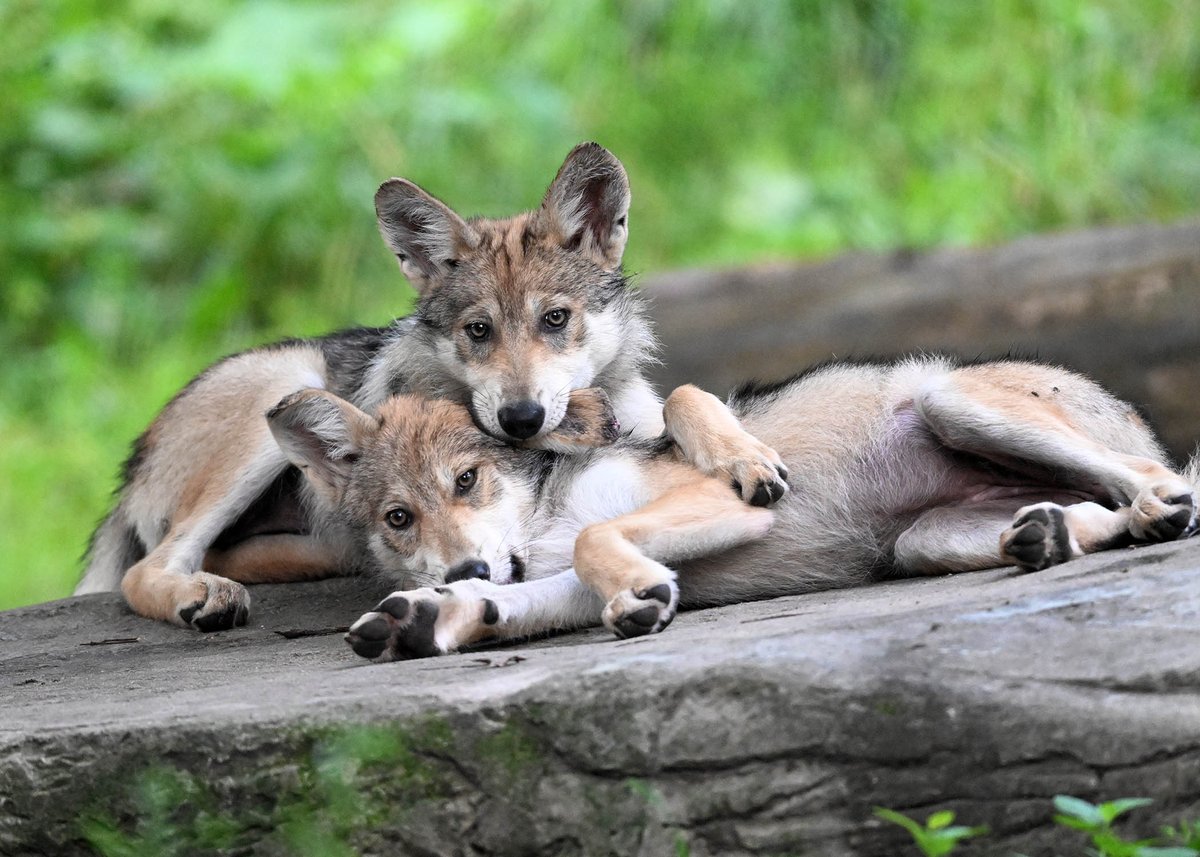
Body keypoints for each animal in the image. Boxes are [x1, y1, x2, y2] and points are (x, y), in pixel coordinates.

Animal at [77, 143, 769, 630]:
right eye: (478, 330)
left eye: (555, 319)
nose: (520, 419)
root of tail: (134, 463)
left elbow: (684, 396)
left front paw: (746, 457)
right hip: (281, 389)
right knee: (152, 567)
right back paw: (203, 596)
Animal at [261, 356, 1199, 660]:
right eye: (399, 518)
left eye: (466, 482)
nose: (464, 561)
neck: (541, 517)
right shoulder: (564, 579)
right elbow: (518, 599)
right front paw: (432, 614)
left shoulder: (715, 503)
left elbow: (600, 539)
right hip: (925, 542)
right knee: (1090, 513)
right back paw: (1050, 532)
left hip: (954, 404)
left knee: (1161, 484)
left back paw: (1154, 509)